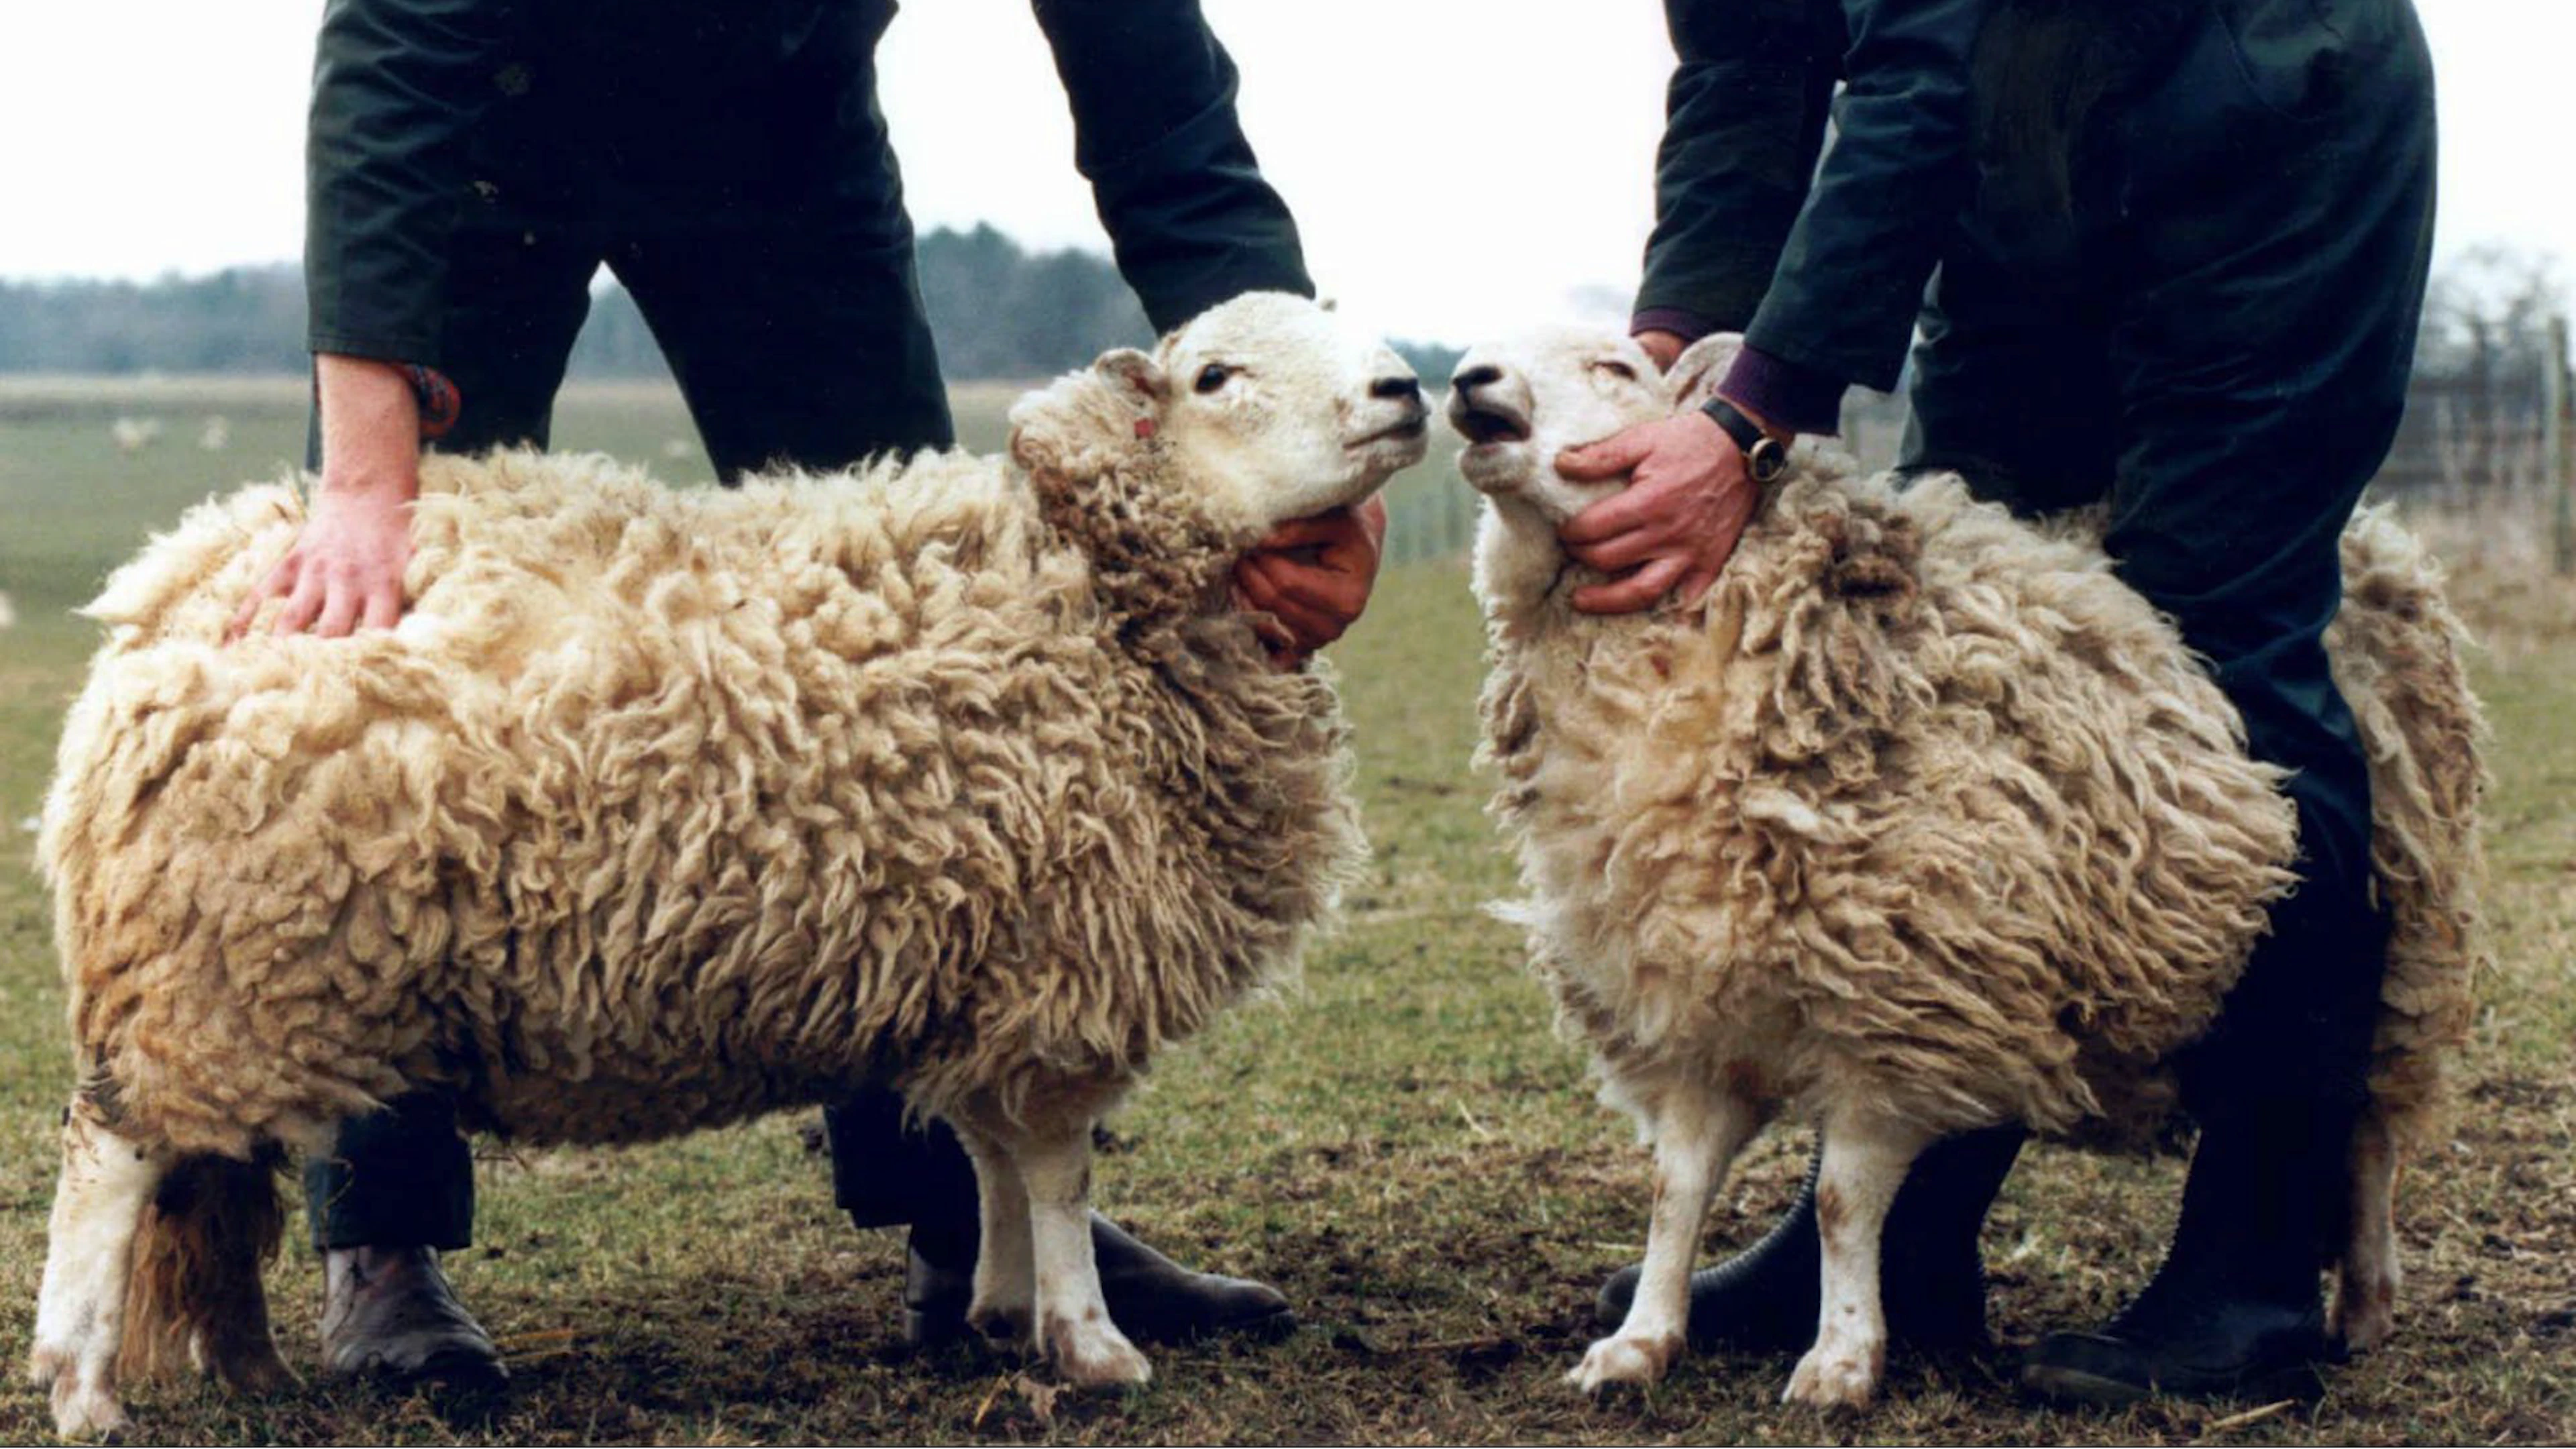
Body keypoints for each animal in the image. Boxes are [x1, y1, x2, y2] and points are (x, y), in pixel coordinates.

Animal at [28, 291, 1430, 1437]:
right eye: (1216, 375)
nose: (1404, 389)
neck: (1086, 590)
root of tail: (175, 589)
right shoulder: (1062, 962)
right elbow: (1053, 1167)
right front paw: (1088, 1344)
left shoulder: (987, 960)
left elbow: (987, 1153)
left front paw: (995, 1309)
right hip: (222, 962)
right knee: (111, 1157)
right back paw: (85, 1387)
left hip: (252, 973)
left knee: (205, 1171)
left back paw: (245, 1364)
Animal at [1445, 327, 2486, 1408]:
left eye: (1614, 370)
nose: (1470, 380)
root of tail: (2376, 538)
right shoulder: (1693, 994)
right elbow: (1675, 1188)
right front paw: (1645, 1339)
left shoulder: (1901, 1004)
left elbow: (1842, 1200)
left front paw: (1842, 1358)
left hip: (2414, 911)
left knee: (2369, 1129)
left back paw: (2351, 1303)